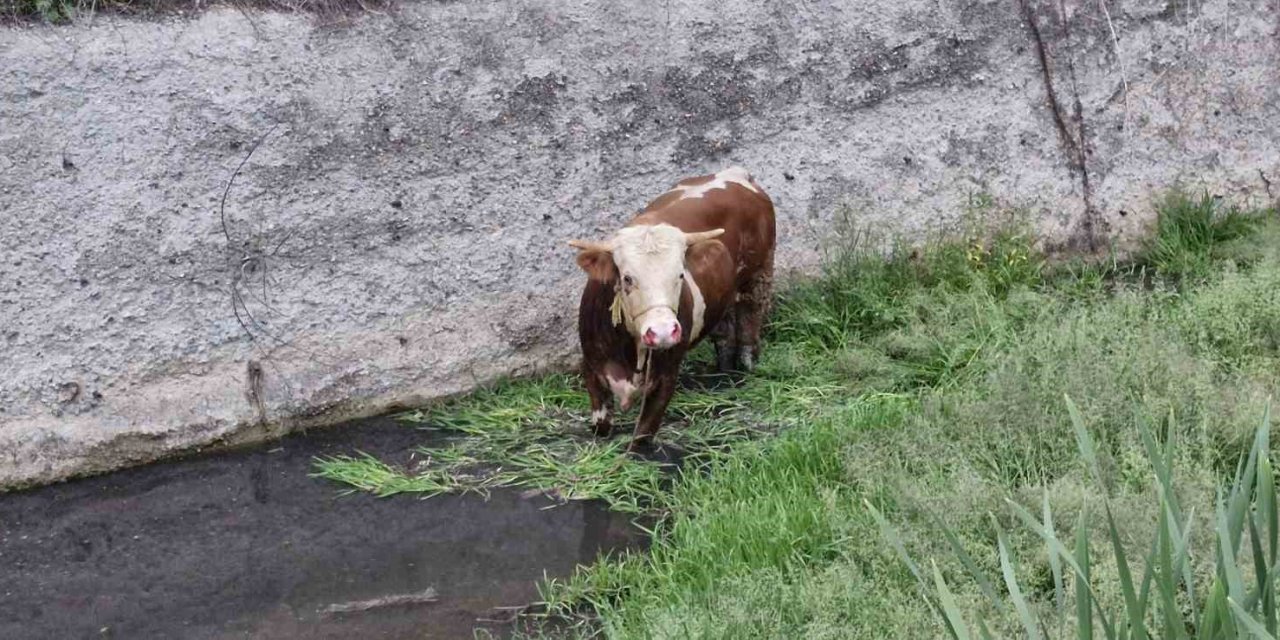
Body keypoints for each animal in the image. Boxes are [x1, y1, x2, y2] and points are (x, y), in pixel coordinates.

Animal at [573, 167, 778, 448]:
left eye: (680, 275)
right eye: (627, 278)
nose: (661, 332)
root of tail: (735, 174)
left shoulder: (666, 375)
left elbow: (643, 436)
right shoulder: (592, 367)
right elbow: (601, 425)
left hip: (759, 275)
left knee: (750, 320)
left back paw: (746, 365)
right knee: (724, 331)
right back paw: (723, 372)